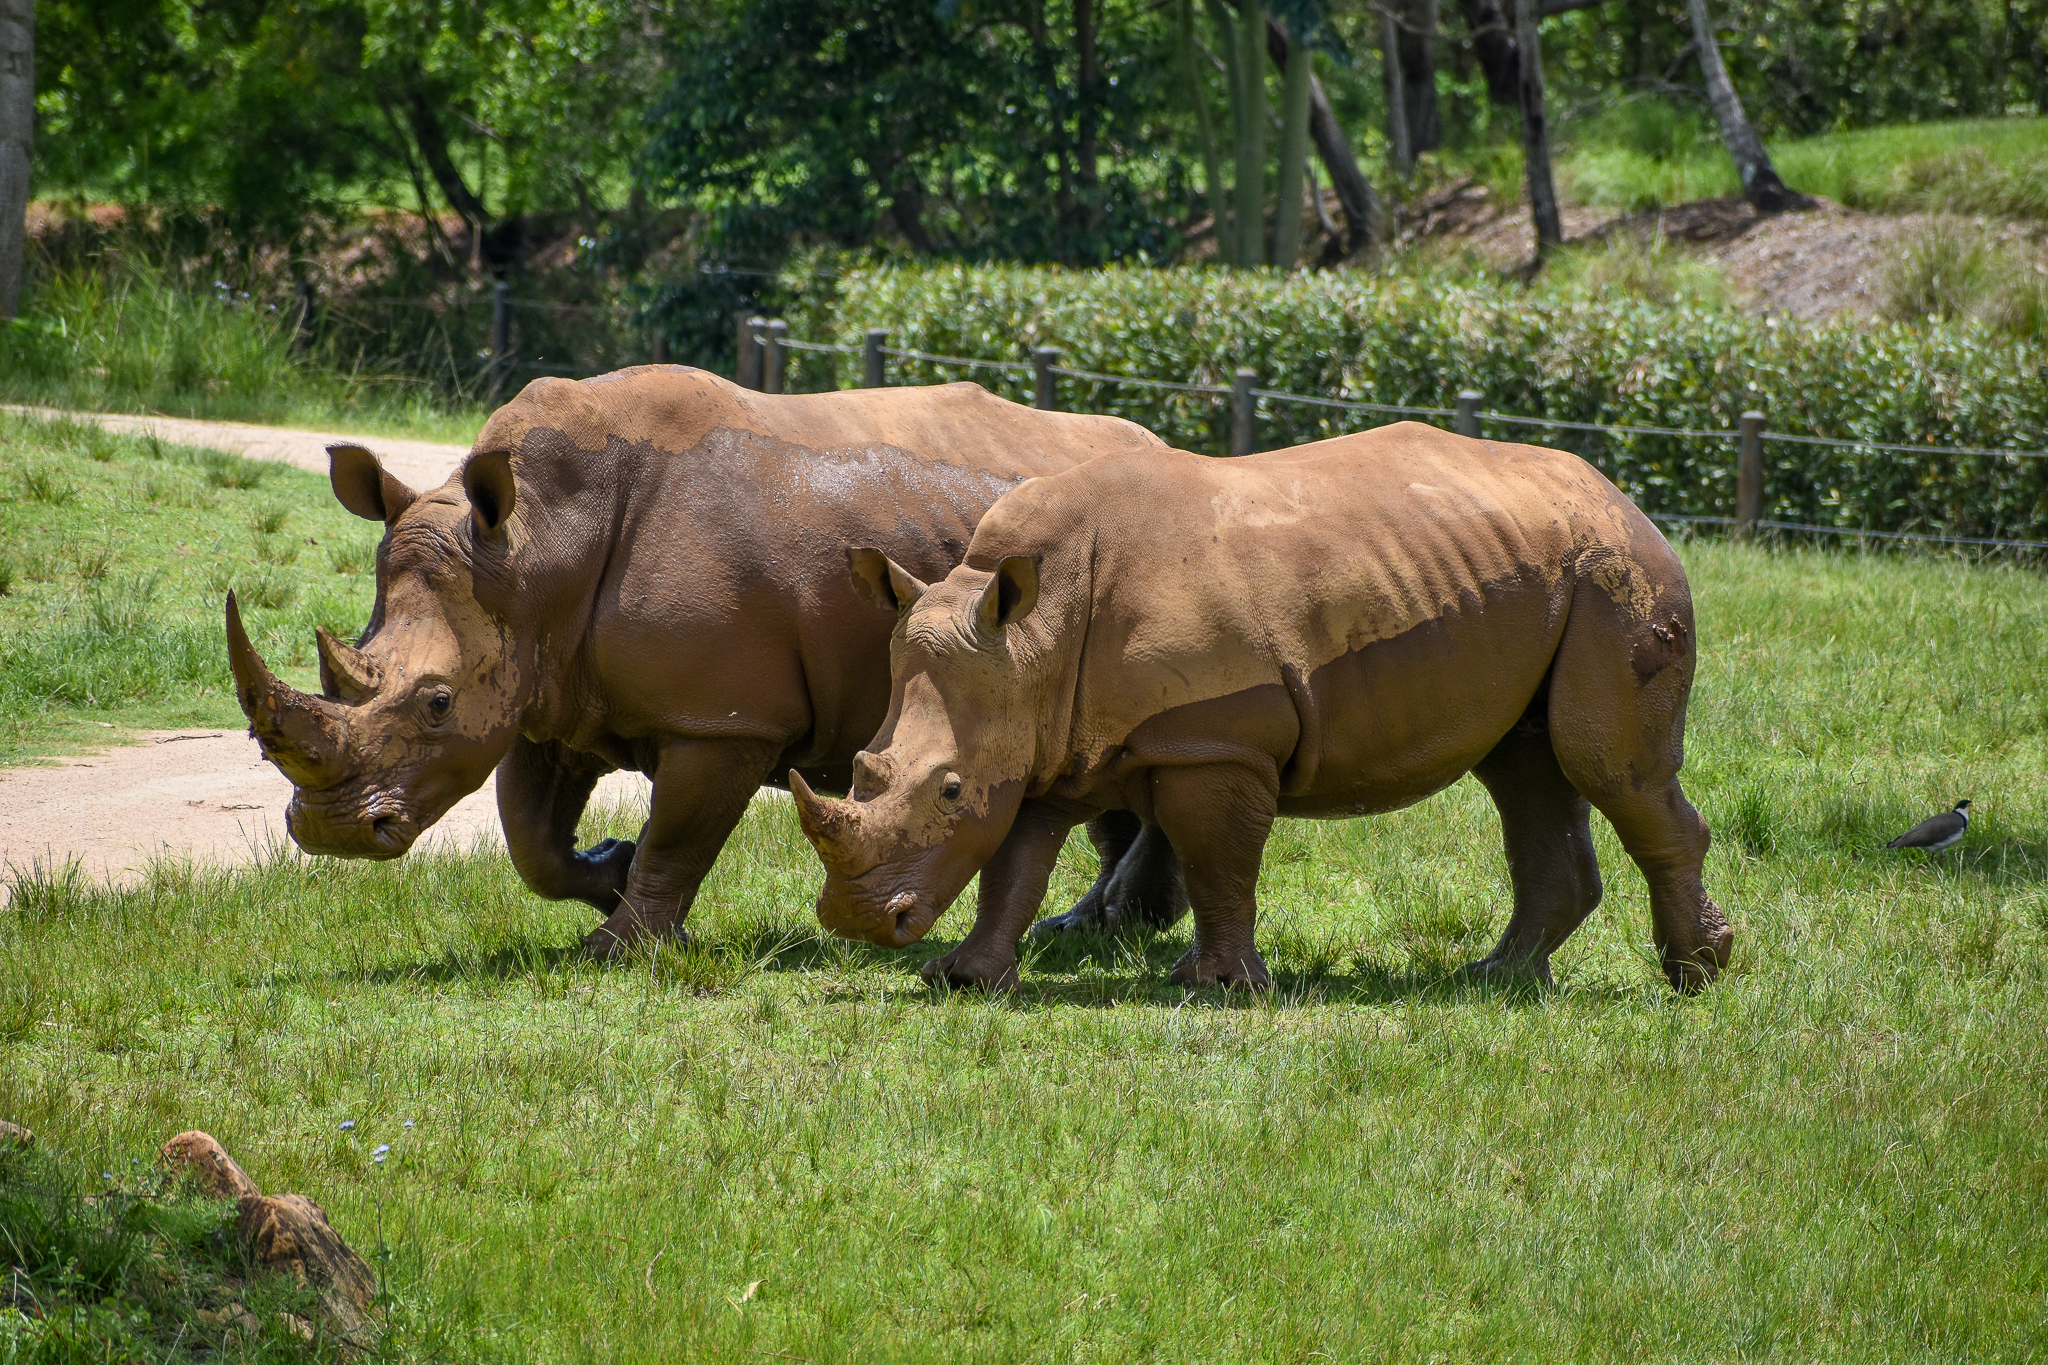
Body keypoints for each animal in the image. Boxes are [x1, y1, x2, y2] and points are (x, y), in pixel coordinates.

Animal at [224, 366, 1182, 957]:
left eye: (434, 702)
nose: (333, 834)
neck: (534, 547)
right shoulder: (548, 691)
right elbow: (532, 839)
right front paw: (609, 872)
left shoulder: (725, 721)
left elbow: (681, 833)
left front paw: (619, 946)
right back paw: (1099, 929)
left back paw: (1105, 928)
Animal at [791, 423, 1734, 993]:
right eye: (865, 769)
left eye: (947, 789)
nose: (857, 921)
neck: (1032, 638)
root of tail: (1626, 497)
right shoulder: (1039, 735)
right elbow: (1014, 863)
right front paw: (965, 977)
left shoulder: (1216, 739)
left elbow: (1219, 859)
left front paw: (1214, 987)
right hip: (1542, 576)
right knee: (1526, 766)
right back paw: (1493, 979)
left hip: (1616, 573)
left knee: (1603, 764)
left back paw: (1697, 976)